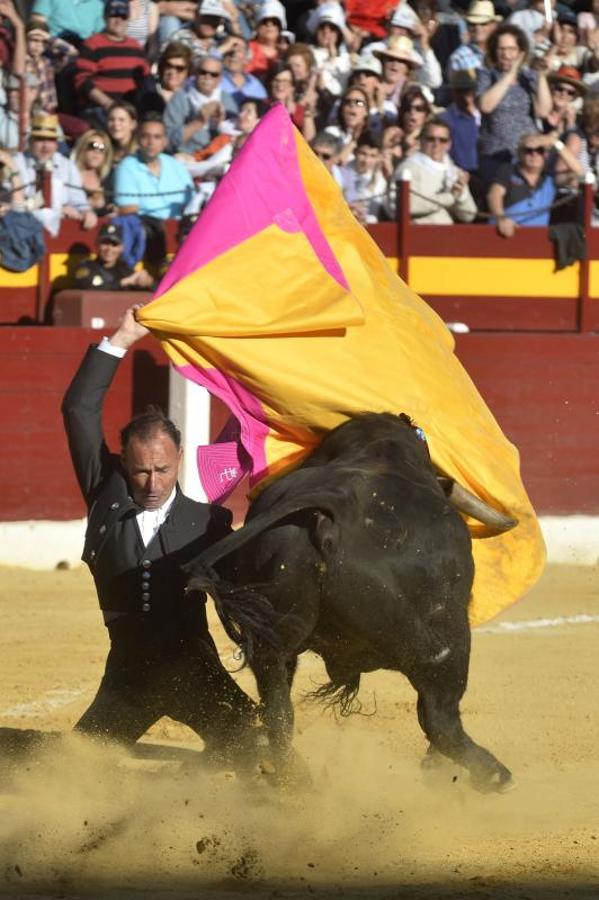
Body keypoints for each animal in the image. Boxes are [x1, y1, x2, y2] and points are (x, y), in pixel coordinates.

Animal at [189, 412, 516, 792]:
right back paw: (492, 774)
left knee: (277, 708)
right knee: (440, 714)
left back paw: (293, 781)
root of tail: (330, 506)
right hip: (440, 642)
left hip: (275, 635)